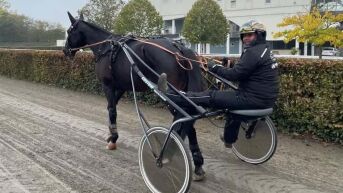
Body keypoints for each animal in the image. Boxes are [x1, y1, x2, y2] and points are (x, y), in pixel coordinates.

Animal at [62, 12, 207, 179]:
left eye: (69, 31)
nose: (65, 51)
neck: (107, 48)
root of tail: (179, 49)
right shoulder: (121, 87)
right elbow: (111, 108)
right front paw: (111, 134)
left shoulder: (108, 85)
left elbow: (112, 110)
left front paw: (113, 139)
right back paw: (197, 163)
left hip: (172, 95)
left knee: (185, 120)